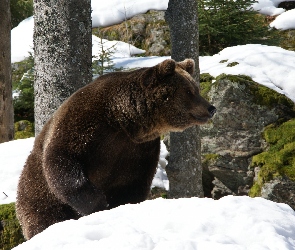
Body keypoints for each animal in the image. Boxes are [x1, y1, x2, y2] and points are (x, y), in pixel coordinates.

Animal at [16, 58, 217, 238]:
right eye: (189, 91)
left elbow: (132, 184)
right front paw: (98, 202)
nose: (211, 108)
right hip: (36, 194)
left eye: (196, 89)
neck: (123, 120)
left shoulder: (137, 150)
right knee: (44, 216)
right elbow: (62, 160)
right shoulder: (84, 124)